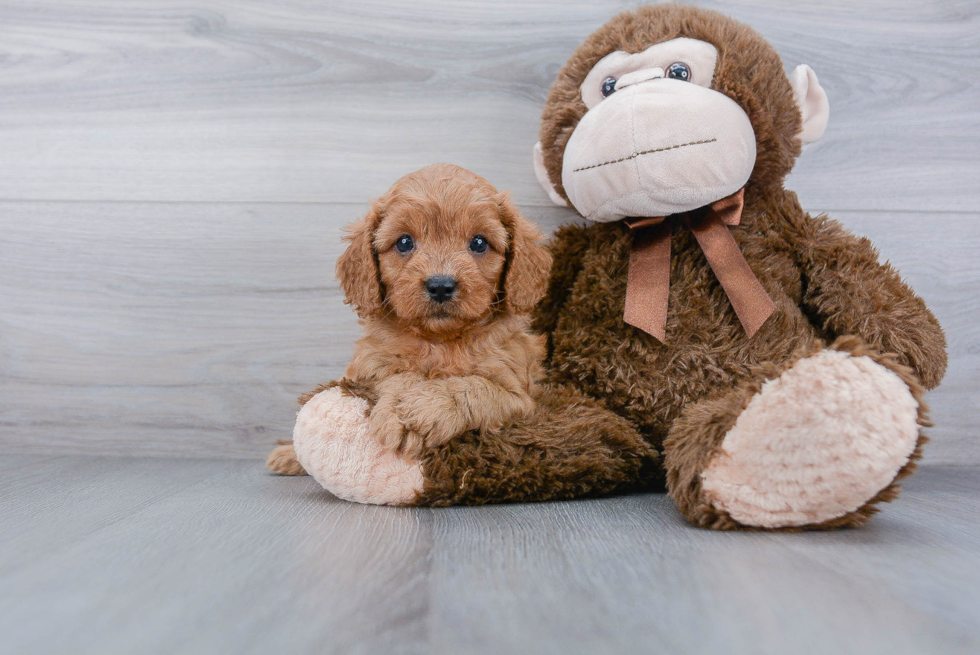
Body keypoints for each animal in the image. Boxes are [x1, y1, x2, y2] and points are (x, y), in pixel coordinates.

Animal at [268, 163, 556, 472]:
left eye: (479, 242)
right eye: (404, 242)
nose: (440, 285)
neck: (440, 341)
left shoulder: (520, 398)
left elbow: (474, 387)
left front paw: (423, 411)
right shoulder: (368, 367)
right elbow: (398, 375)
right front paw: (398, 406)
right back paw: (288, 454)